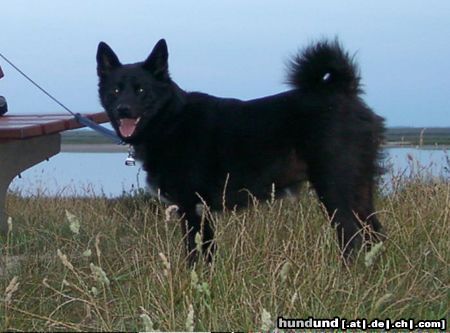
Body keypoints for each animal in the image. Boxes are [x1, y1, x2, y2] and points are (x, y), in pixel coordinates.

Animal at [96, 38, 384, 262]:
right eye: (116, 90)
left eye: (141, 90)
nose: (123, 109)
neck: (170, 120)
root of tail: (342, 91)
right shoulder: (200, 211)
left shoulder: (193, 208)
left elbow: (195, 256)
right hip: (360, 191)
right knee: (375, 233)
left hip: (335, 190)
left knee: (352, 237)